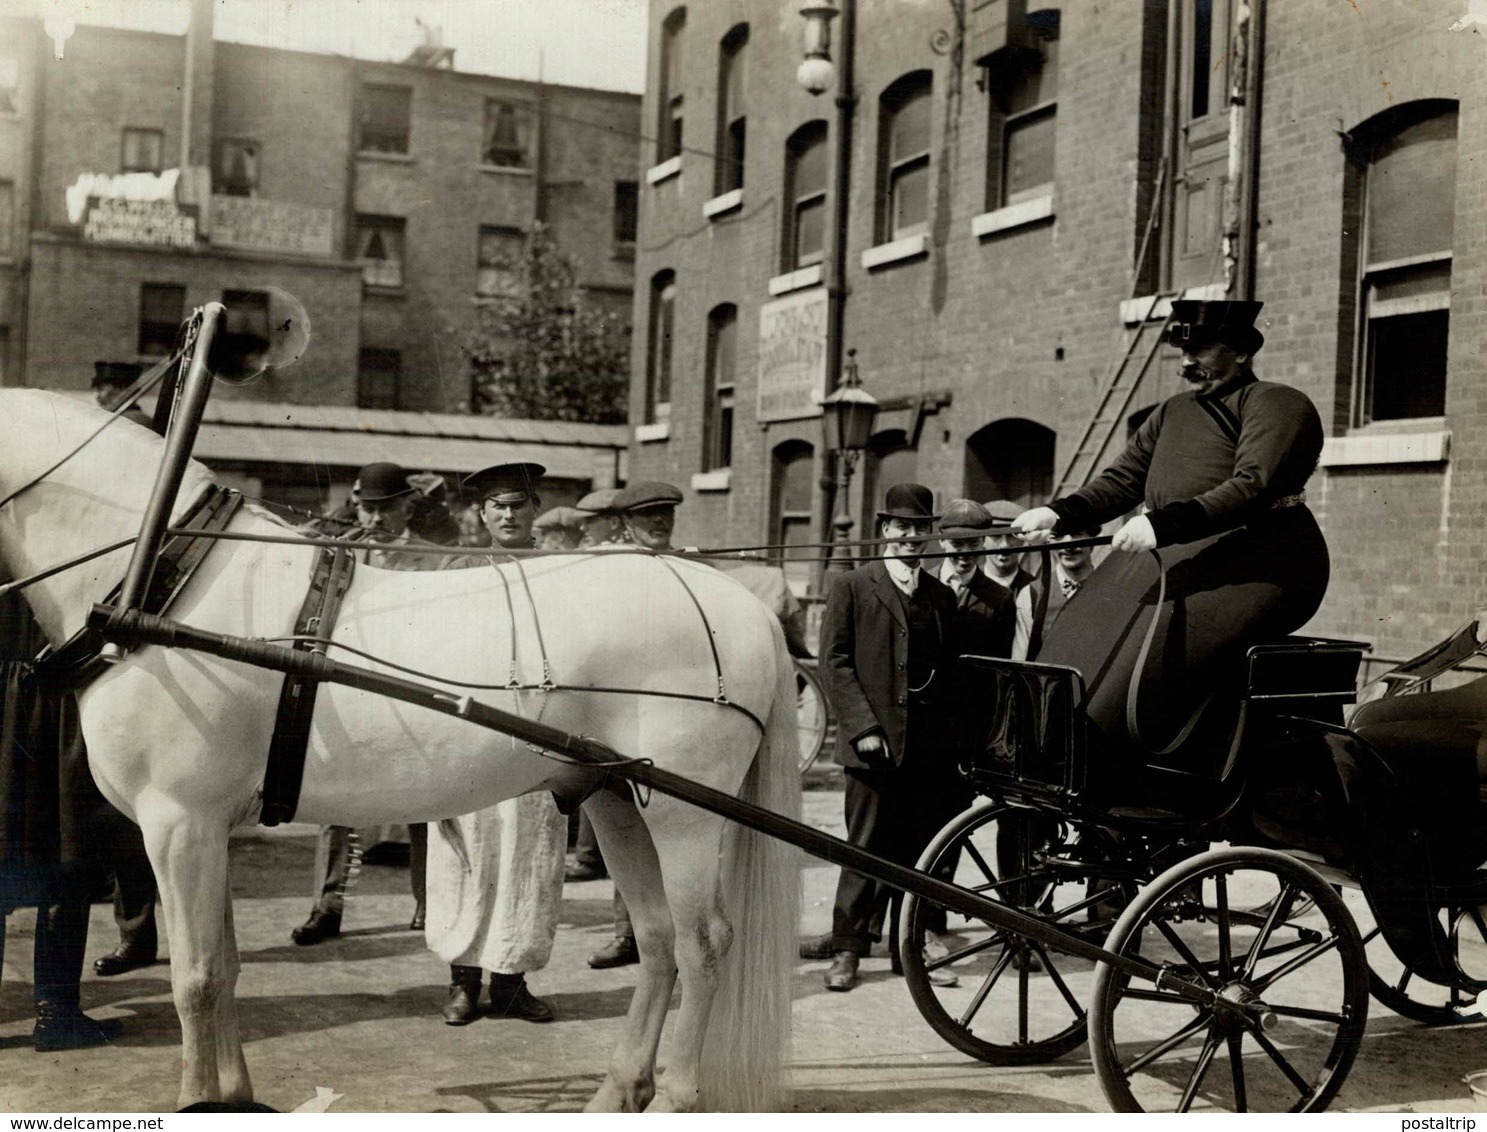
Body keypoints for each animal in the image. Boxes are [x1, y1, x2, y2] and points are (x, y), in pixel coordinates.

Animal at [0, 389, 802, 1112]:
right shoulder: (208, 827)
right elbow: (223, 969)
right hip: (617, 797)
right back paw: (618, 1091)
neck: (164, 578)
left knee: (703, 944)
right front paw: (232, 1096)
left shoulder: (179, 822)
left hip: (683, 811)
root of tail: (743, 604)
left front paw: (202, 1100)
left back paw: (674, 1098)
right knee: (659, 939)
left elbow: (194, 979)